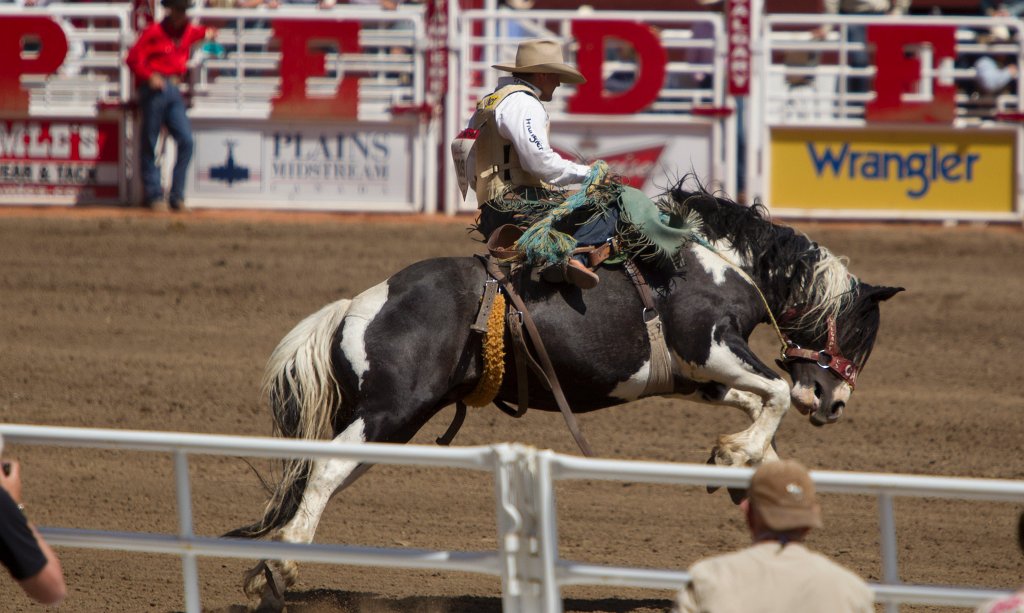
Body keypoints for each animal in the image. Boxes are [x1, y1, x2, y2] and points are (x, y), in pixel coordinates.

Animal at [228, 186, 901, 605]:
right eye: (857, 334)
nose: (834, 403)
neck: (717, 263)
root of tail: (358, 305)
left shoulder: (697, 375)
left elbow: (759, 403)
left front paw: (739, 462)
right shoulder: (708, 345)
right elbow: (777, 392)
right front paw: (738, 455)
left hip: (387, 420)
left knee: (318, 475)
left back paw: (267, 576)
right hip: (391, 412)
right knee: (325, 470)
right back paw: (283, 565)